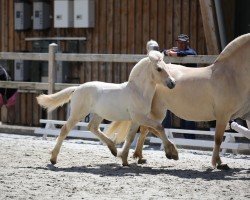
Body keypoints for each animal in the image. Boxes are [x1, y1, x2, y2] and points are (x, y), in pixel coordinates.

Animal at [37, 50, 178, 166]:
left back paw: (113, 149)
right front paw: (172, 154)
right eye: (159, 68)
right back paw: (53, 159)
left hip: (98, 114)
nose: (172, 83)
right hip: (78, 114)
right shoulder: (140, 117)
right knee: (65, 130)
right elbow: (159, 127)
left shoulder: (136, 120)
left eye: (166, 67)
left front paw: (125, 160)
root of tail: (77, 88)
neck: (138, 91)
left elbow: (130, 137)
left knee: (92, 127)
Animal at [105, 33, 250, 170]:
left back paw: (140, 156)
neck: (231, 76)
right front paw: (218, 163)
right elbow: (218, 139)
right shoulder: (222, 116)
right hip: (157, 111)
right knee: (150, 128)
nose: (172, 83)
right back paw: (165, 153)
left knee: (146, 129)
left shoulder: (245, 115)